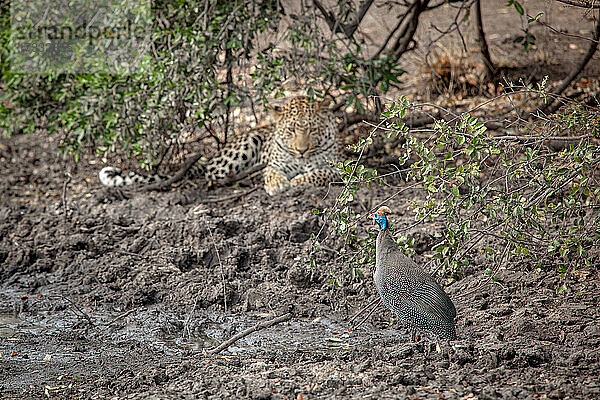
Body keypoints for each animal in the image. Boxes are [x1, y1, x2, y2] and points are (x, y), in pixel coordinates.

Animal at [99, 97, 342, 197]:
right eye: (291, 130)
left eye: (312, 130)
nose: (301, 150)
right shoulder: (274, 164)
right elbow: (271, 172)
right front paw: (277, 184)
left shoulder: (340, 169)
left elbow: (319, 173)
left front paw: (299, 180)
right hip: (243, 147)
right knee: (213, 174)